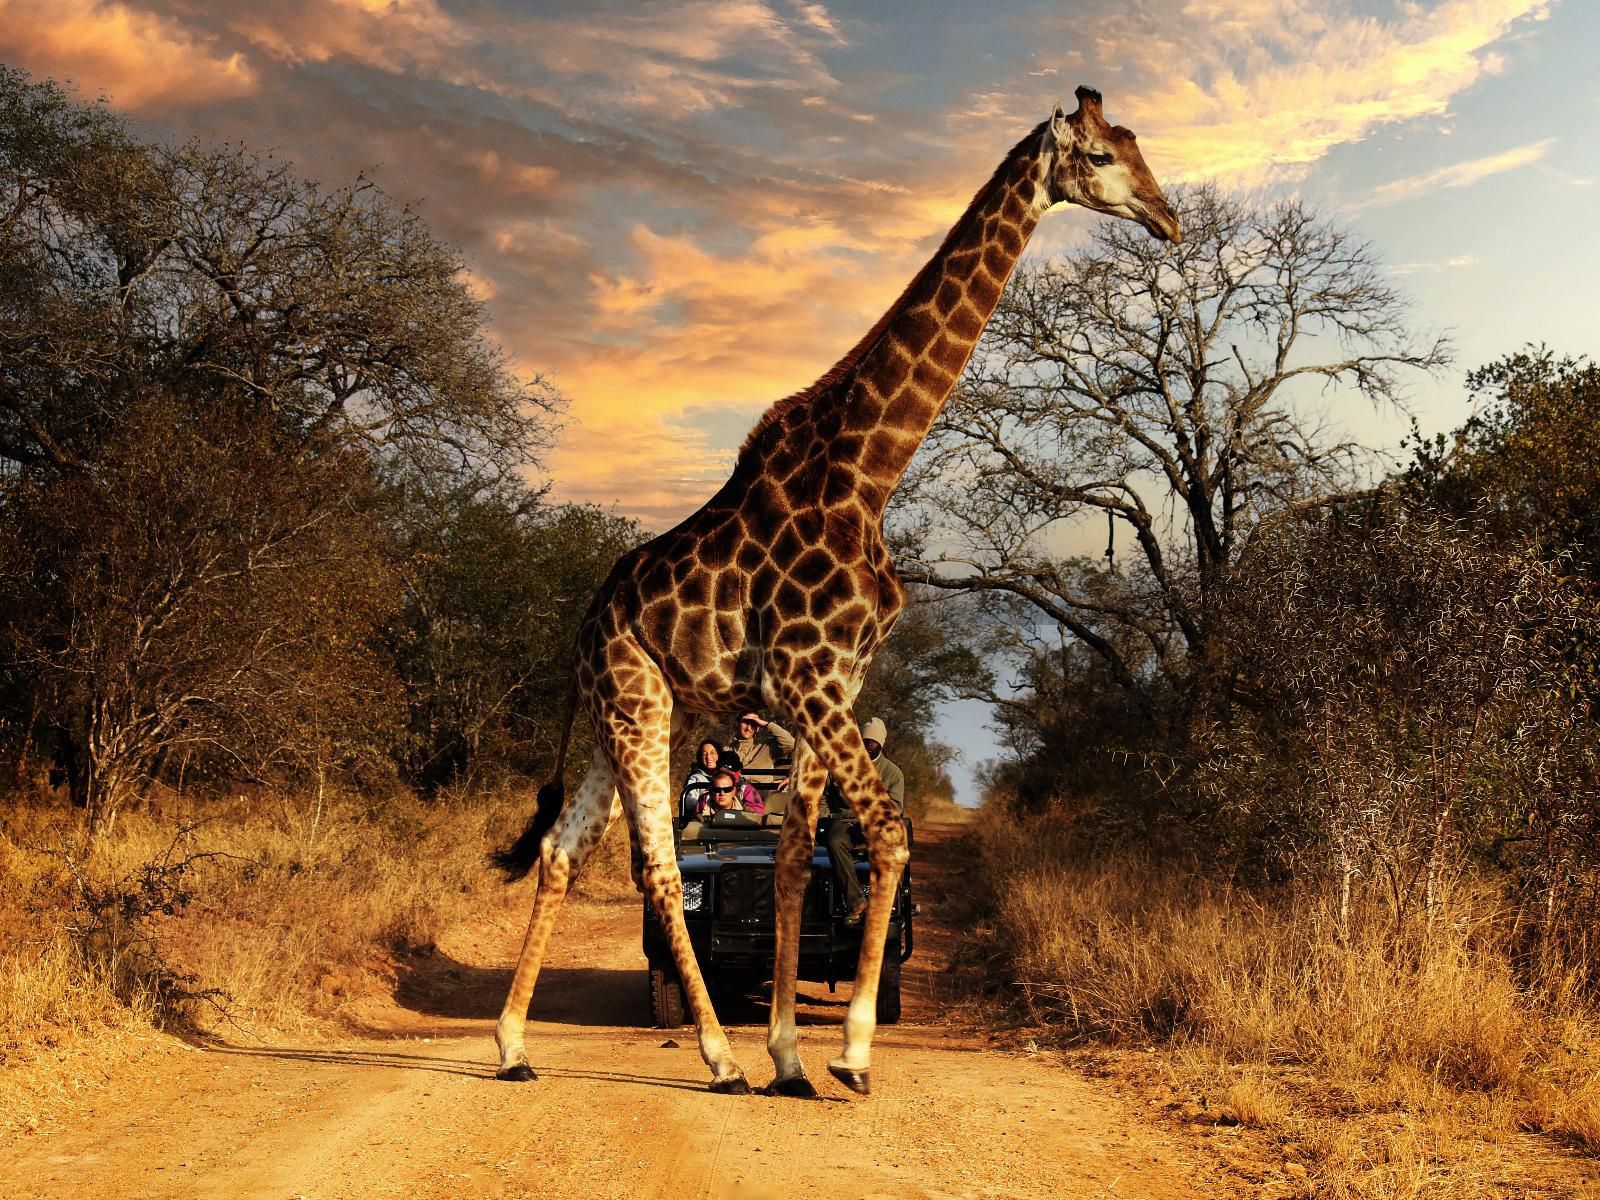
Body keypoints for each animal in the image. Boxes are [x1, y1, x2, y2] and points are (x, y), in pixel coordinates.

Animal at [486, 84, 1177, 1100]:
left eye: (1135, 144)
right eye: (1097, 156)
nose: (1169, 218)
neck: (867, 475)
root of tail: (583, 628)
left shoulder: (832, 683)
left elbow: (791, 854)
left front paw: (790, 1055)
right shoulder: (810, 678)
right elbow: (885, 833)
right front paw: (845, 1053)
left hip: (646, 712)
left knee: (562, 850)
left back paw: (513, 1047)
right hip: (635, 702)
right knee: (659, 867)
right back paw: (717, 1058)